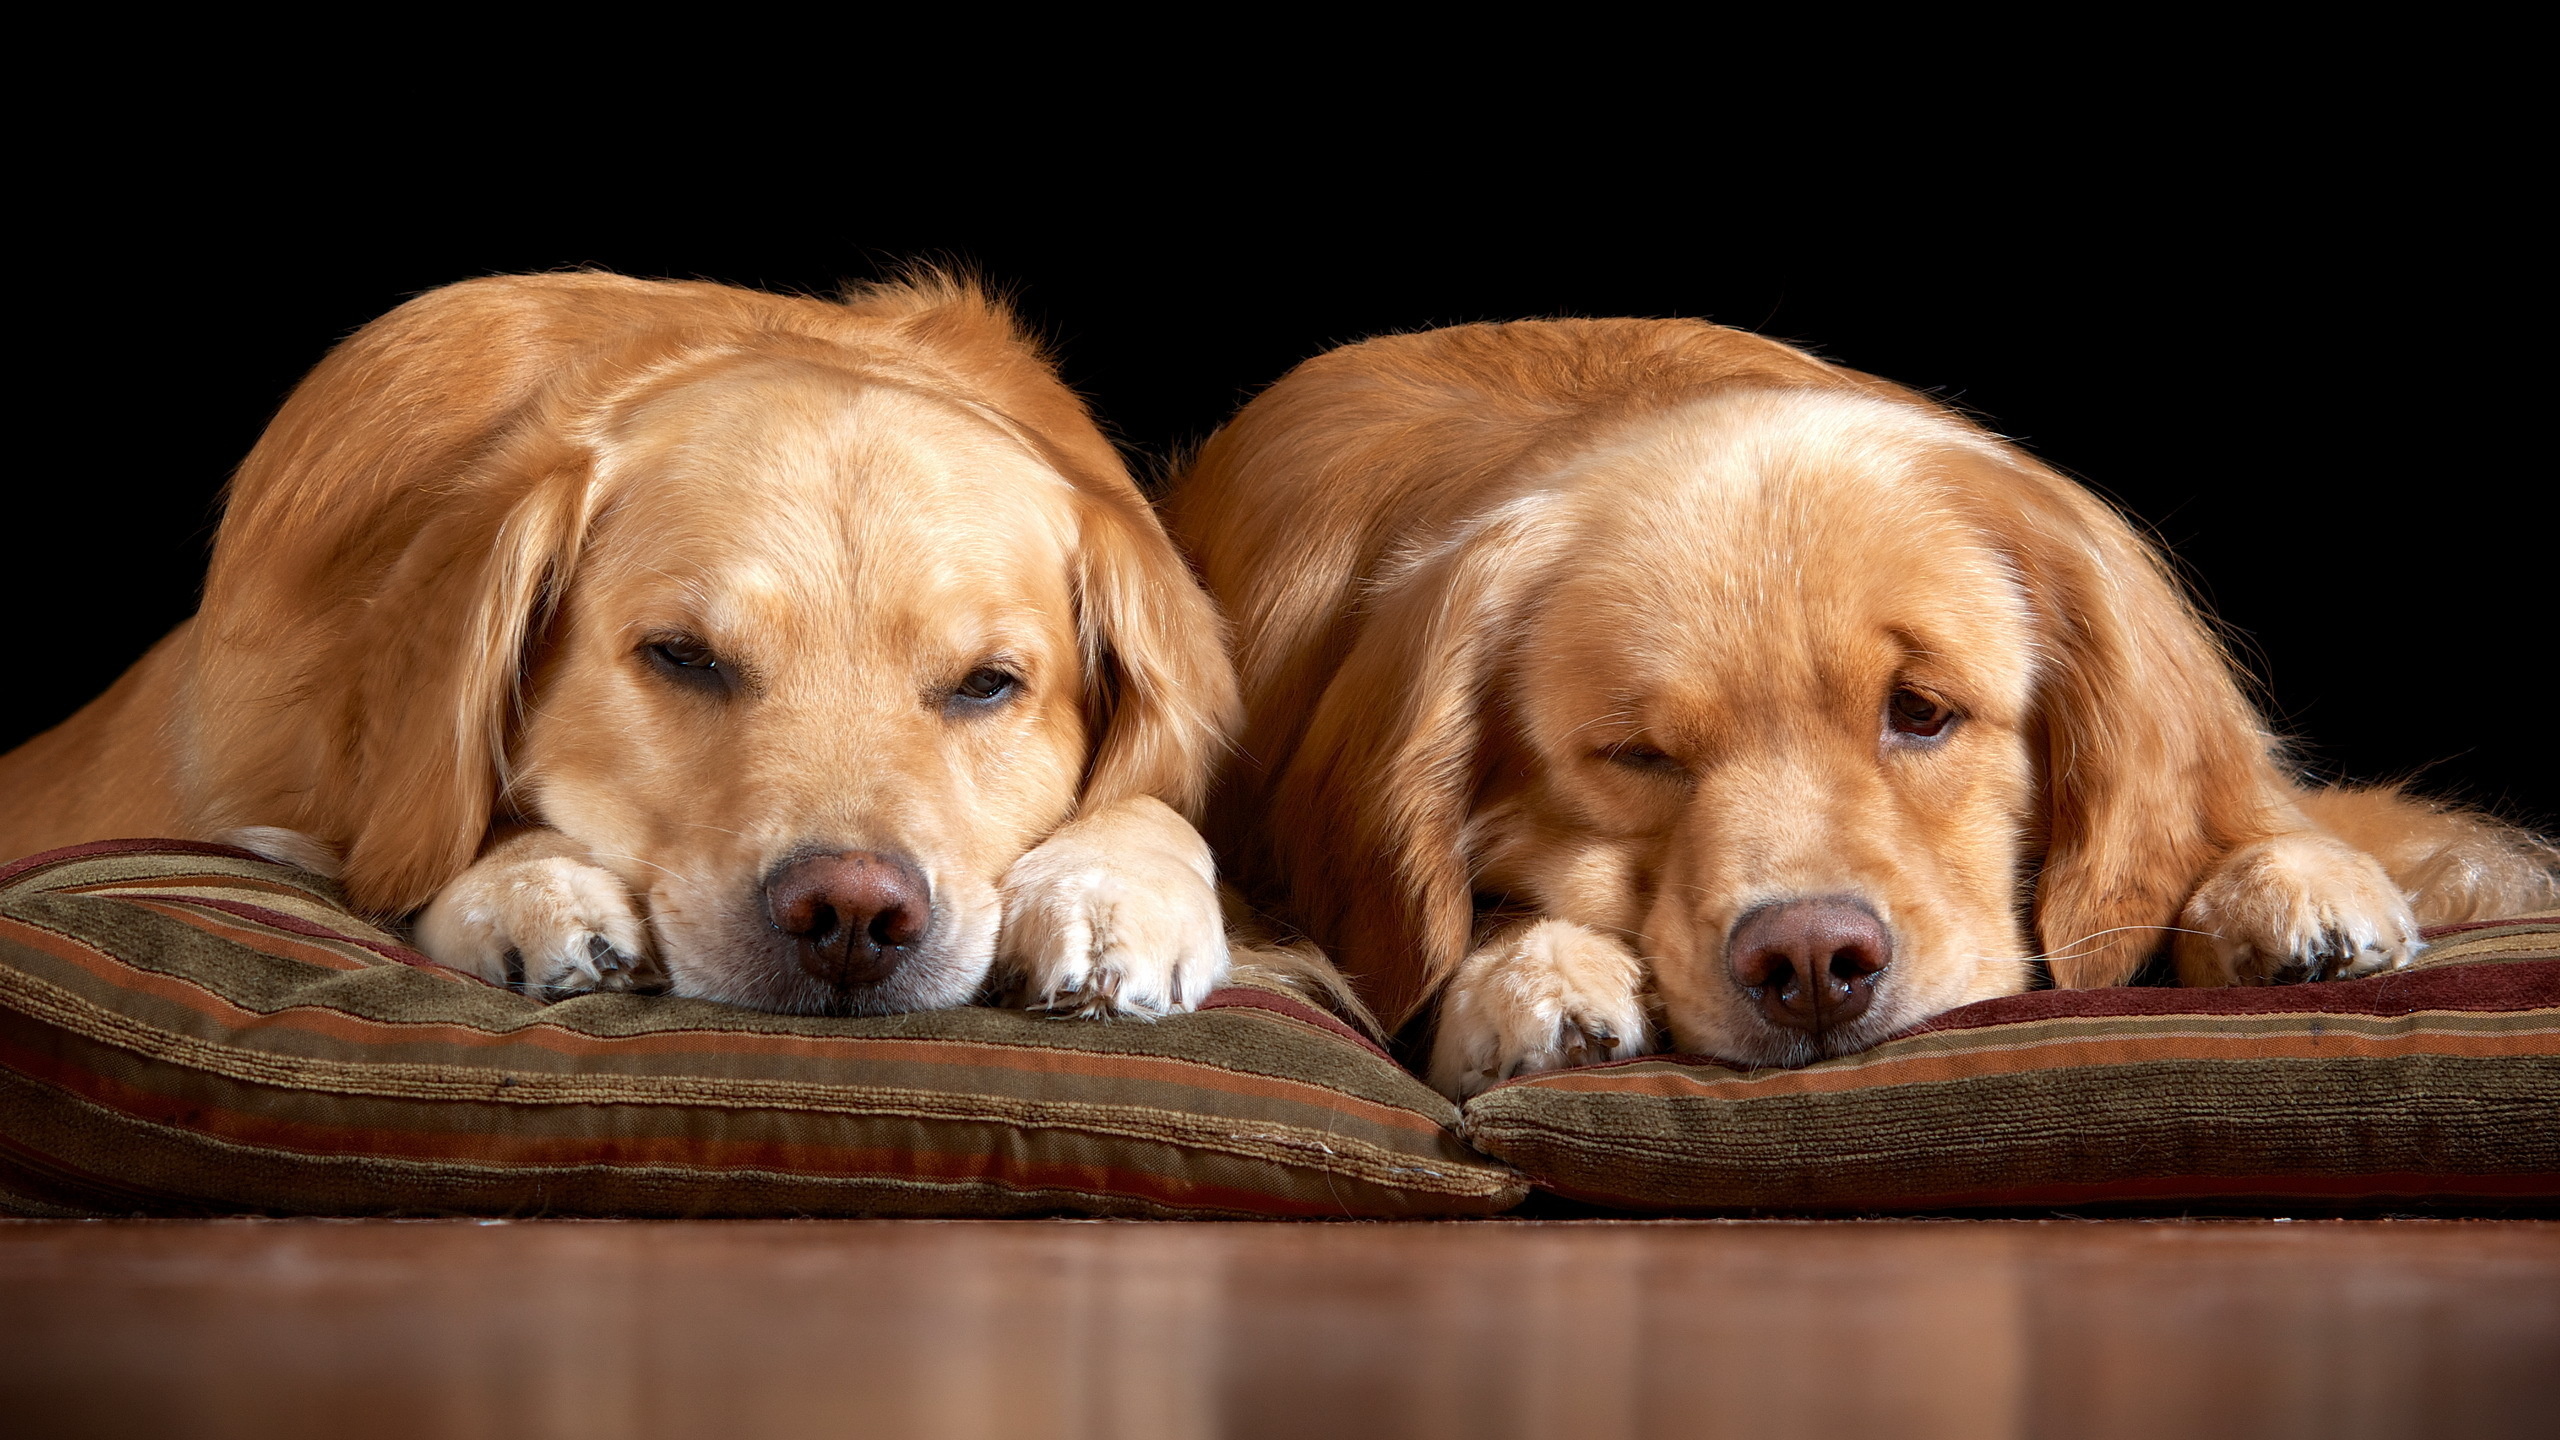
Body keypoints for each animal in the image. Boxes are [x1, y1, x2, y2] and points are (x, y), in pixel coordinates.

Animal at [0, 269, 1239, 1009]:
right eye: (682, 657)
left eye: (988, 684)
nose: (850, 915)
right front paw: (533, 887)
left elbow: (1157, 803)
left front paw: (1111, 892)